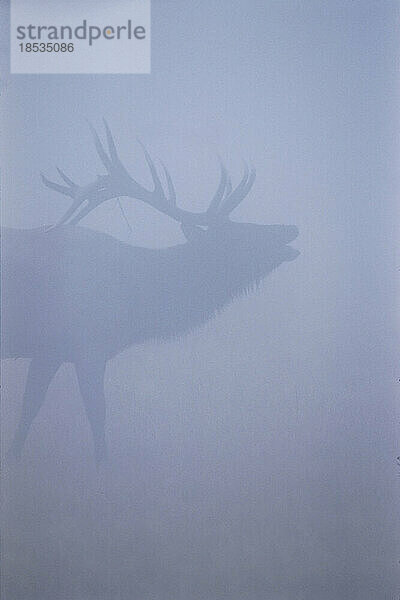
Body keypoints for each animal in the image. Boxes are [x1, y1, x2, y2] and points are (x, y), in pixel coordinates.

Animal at [0, 120, 300, 460]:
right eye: (236, 234)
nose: (290, 228)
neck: (136, 306)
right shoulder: (85, 346)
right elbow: (95, 418)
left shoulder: (51, 351)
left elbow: (29, 412)